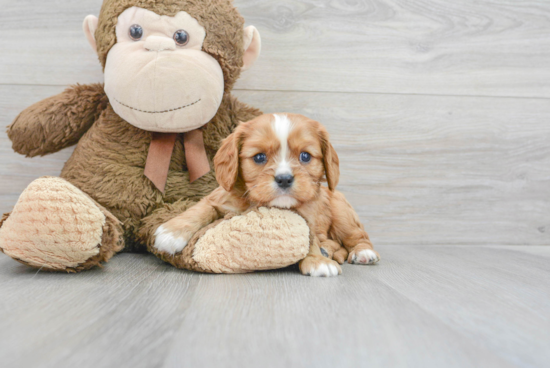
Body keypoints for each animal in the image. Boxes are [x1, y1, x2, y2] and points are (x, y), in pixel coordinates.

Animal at [153, 113, 382, 278]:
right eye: (259, 157)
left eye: (305, 156)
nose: (284, 179)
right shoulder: (219, 197)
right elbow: (200, 208)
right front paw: (171, 233)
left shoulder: (307, 216)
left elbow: (309, 238)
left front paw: (317, 260)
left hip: (342, 213)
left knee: (357, 237)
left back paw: (363, 253)